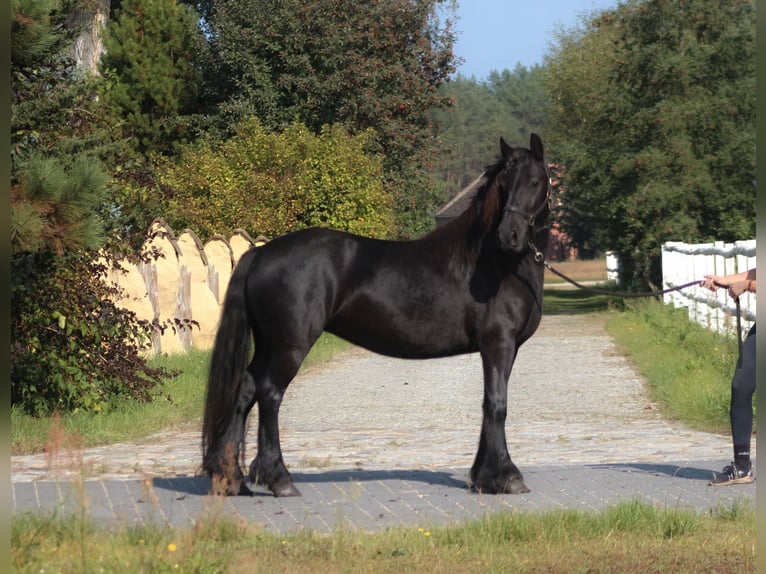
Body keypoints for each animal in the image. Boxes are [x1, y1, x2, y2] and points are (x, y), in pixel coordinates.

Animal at [202, 133, 552, 498]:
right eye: (505, 184)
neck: (494, 264)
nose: (509, 235)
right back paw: (279, 479)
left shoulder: (503, 348)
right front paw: (506, 476)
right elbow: (497, 404)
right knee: (269, 395)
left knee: (245, 389)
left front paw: (483, 476)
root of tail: (260, 254)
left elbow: (488, 404)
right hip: (289, 346)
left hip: (268, 344)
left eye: (535, 181)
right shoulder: (498, 344)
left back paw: (232, 478)